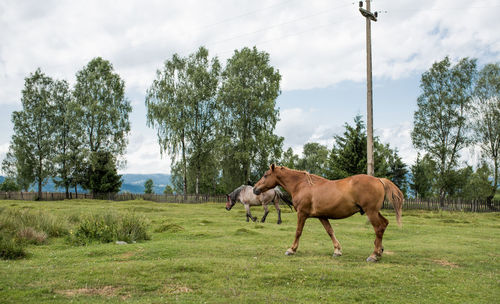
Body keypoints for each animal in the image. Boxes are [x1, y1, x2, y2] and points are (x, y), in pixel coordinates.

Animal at [254, 164, 402, 262]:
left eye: (265, 175)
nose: (255, 189)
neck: (302, 185)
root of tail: (379, 180)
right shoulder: (322, 216)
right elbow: (330, 231)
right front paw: (337, 250)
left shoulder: (302, 214)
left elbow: (298, 232)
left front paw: (292, 249)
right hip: (375, 212)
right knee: (384, 224)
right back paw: (380, 251)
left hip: (370, 212)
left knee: (379, 228)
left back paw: (374, 255)